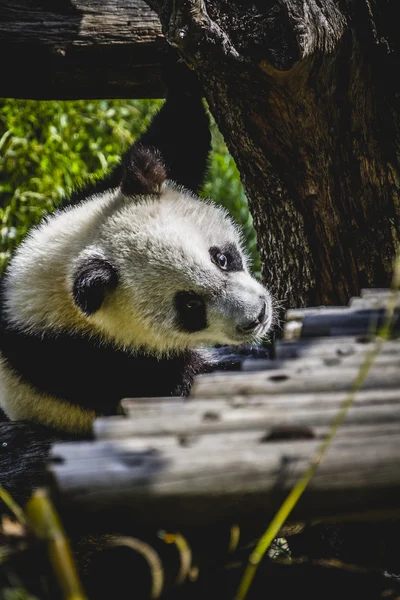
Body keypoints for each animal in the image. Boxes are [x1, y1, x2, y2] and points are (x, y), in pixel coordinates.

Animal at [0, 75, 274, 442]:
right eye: (190, 306)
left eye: (221, 258)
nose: (257, 316)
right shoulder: (80, 358)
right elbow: (178, 387)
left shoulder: (90, 198)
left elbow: (175, 142)